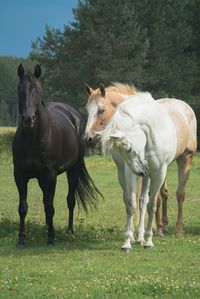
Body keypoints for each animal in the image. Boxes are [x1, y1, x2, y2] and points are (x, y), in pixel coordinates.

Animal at [12, 65, 101, 246]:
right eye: (19, 89)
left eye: (38, 90)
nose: (28, 119)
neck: (33, 139)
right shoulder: (19, 174)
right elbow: (23, 207)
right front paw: (22, 239)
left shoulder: (50, 175)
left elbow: (50, 206)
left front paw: (51, 237)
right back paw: (47, 226)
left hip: (73, 170)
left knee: (70, 200)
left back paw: (69, 231)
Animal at [84, 83, 169, 252]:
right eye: (87, 110)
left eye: (101, 110)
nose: (88, 139)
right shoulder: (126, 171)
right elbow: (130, 202)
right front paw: (129, 239)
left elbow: (144, 203)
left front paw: (141, 239)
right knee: (137, 200)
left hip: (150, 175)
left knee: (144, 201)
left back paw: (142, 237)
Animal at [101, 92, 197, 250]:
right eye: (120, 152)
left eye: (129, 148)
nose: (141, 171)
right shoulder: (131, 174)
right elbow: (132, 204)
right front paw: (127, 242)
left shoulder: (159, 173)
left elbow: (152, 205)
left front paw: (149, 241)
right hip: (139, 176)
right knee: (140, 200)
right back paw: (139, 236)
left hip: (183, 161)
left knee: (177, 195)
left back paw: (175, 230)